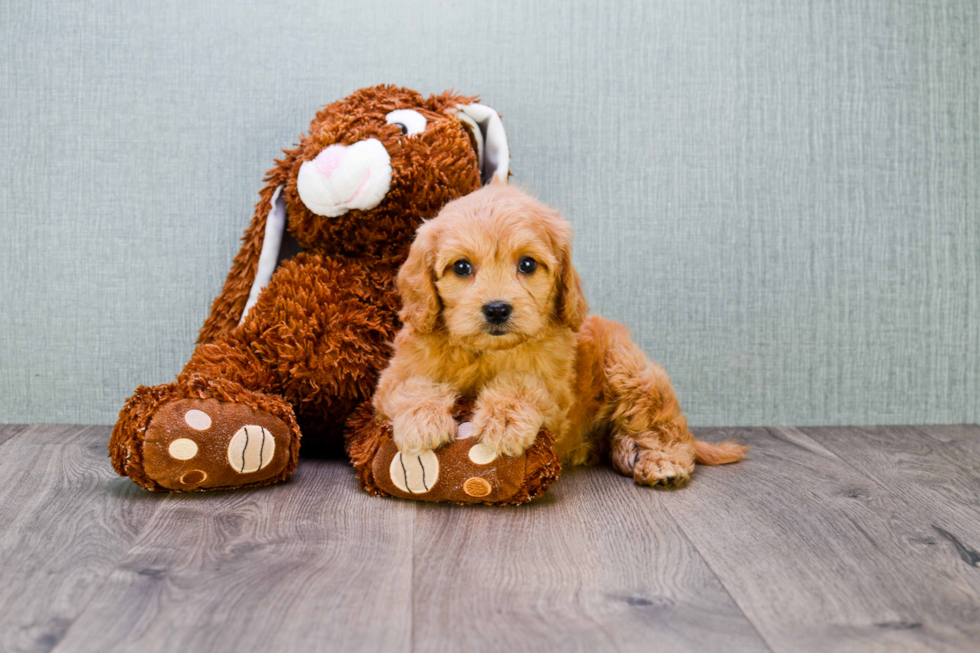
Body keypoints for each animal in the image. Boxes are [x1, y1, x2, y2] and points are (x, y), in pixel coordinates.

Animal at [372, 181, 748, 486]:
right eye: (461, 267)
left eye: (527, 264)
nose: (497, 309)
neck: (487, 352)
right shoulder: (393, 377)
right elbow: (413, 385)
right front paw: (421, 420)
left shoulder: (556, 391)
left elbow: (523, 384)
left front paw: (504, 417)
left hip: (627, 366)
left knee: (663, 427)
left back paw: (661, 463)